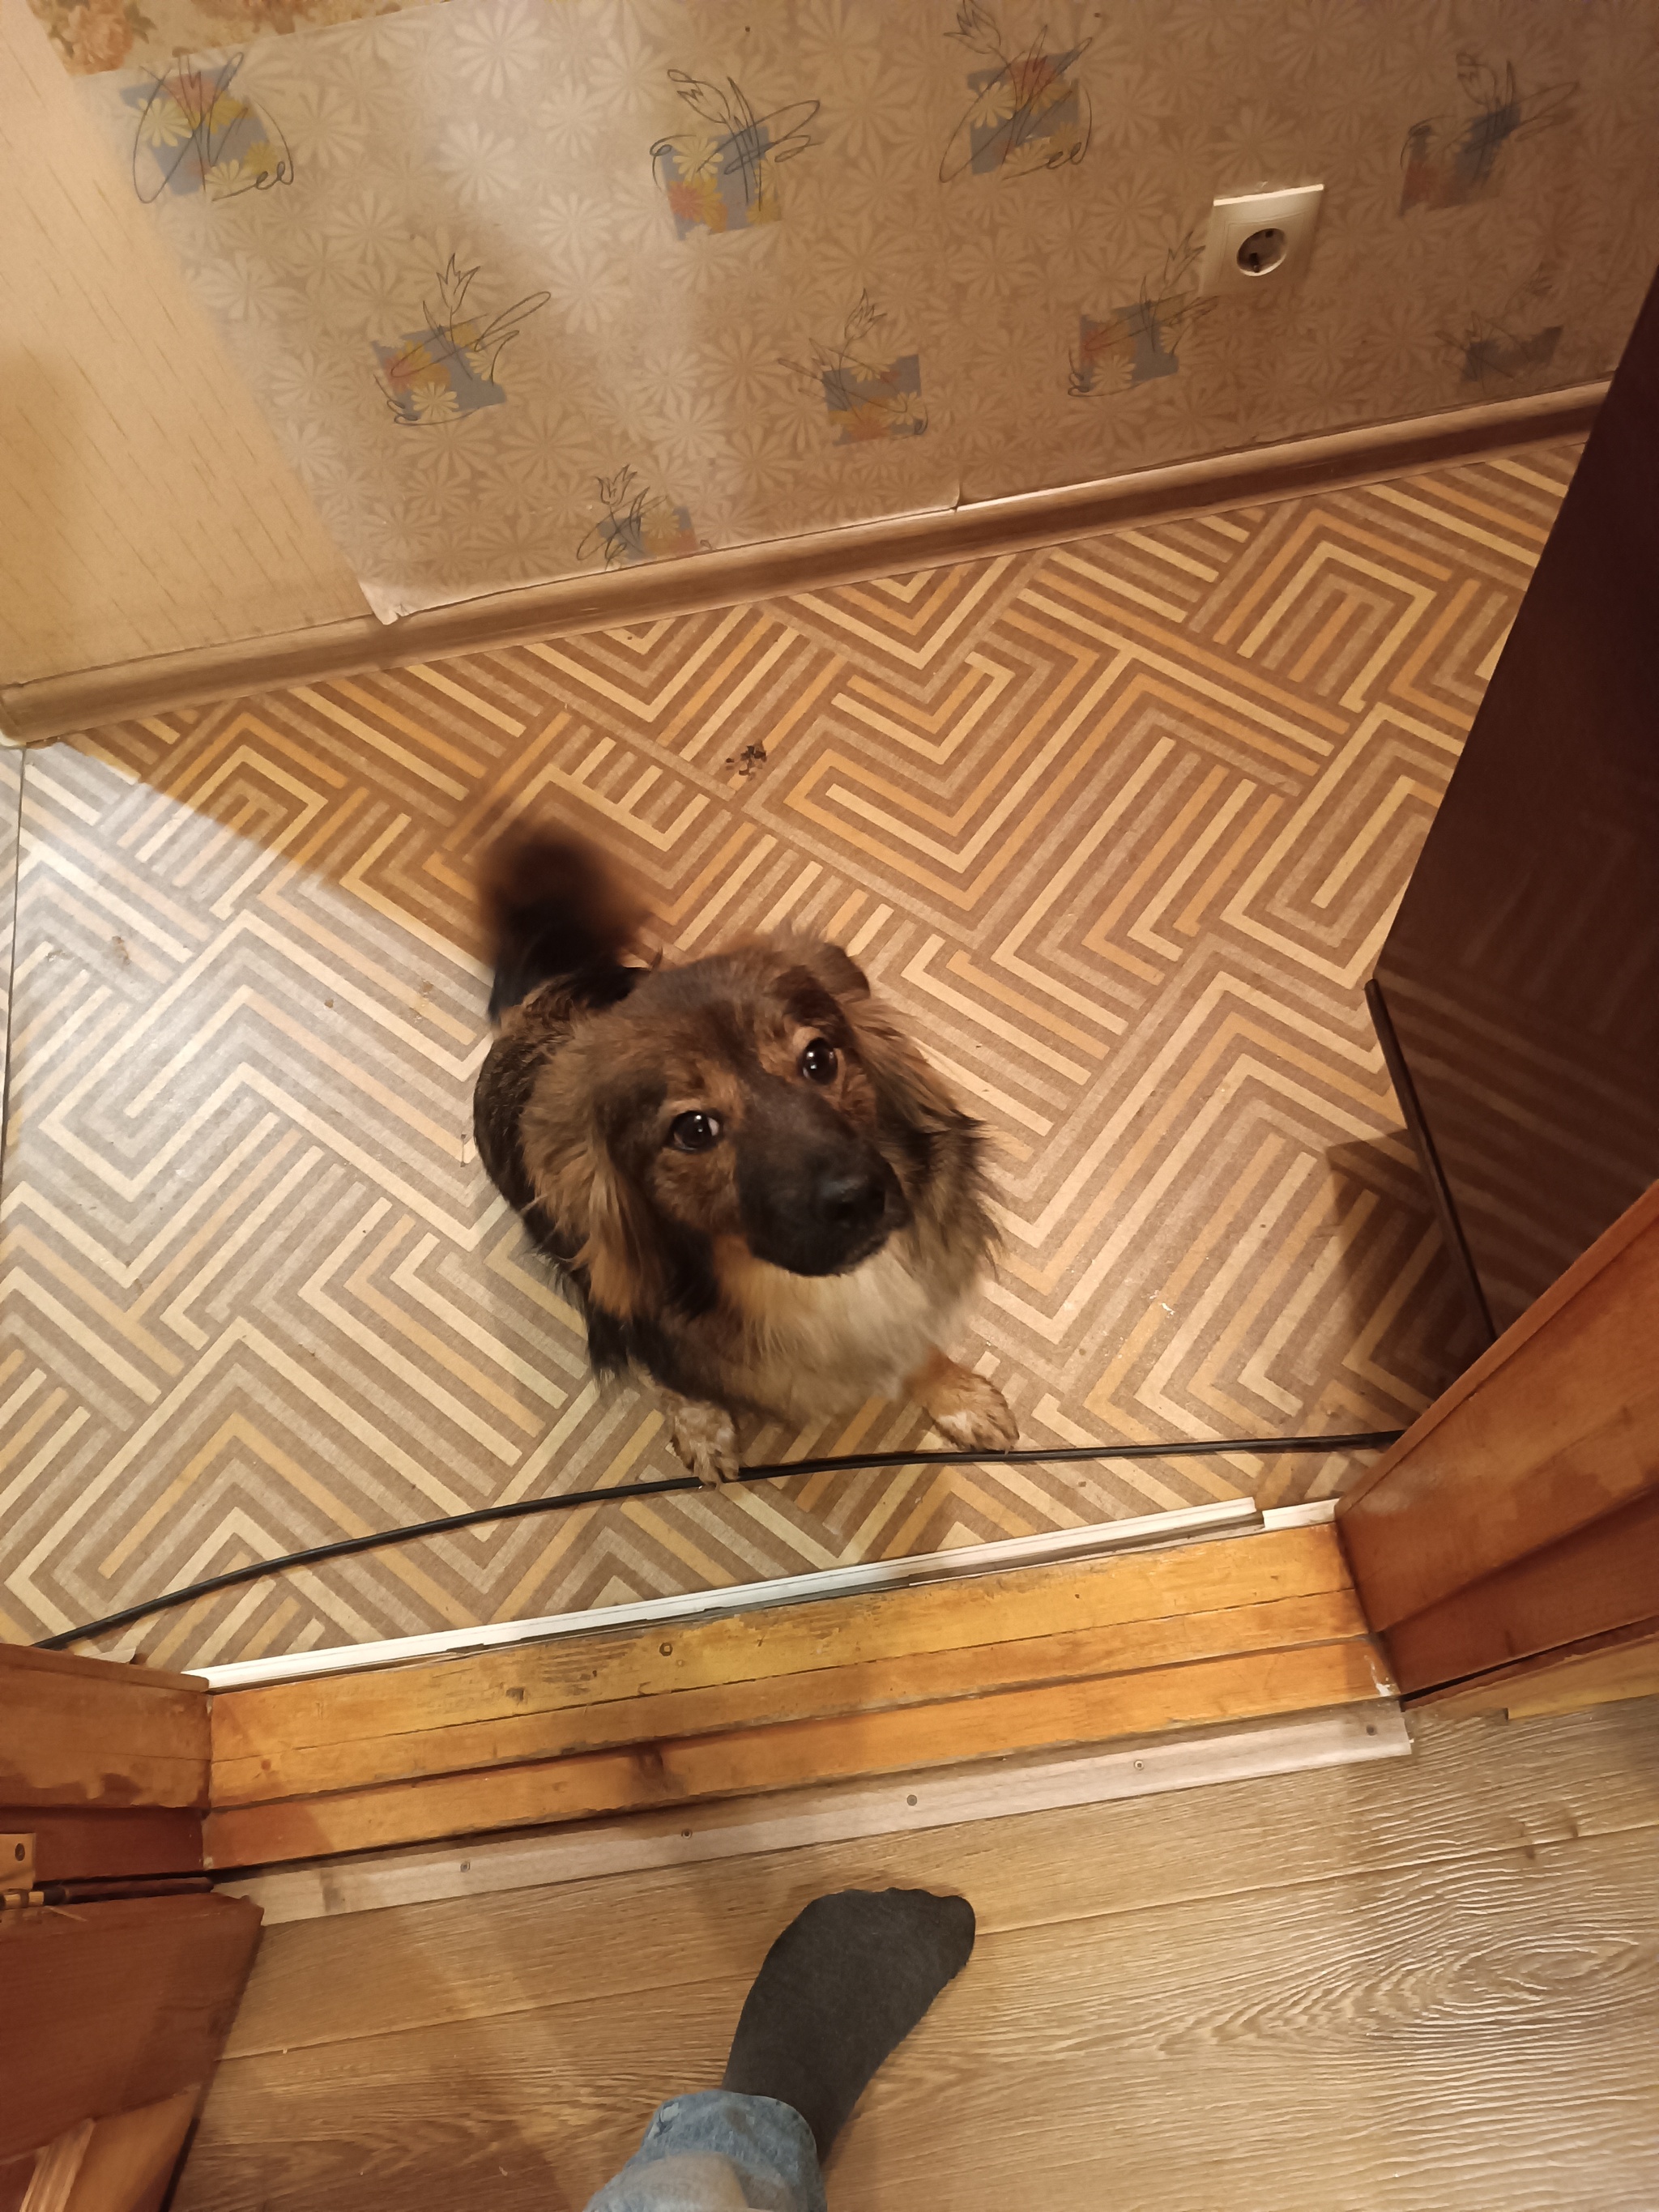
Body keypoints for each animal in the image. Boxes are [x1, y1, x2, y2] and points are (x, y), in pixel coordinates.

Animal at [471, 822, 1017, 1484]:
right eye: (694, 1129)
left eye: (820, 1059)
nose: (860, 1199)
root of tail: (541, 993)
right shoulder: (643, 1321)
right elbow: (673, 1379)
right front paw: (702, 1427)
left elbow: (917, 1348)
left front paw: (955, 1396)